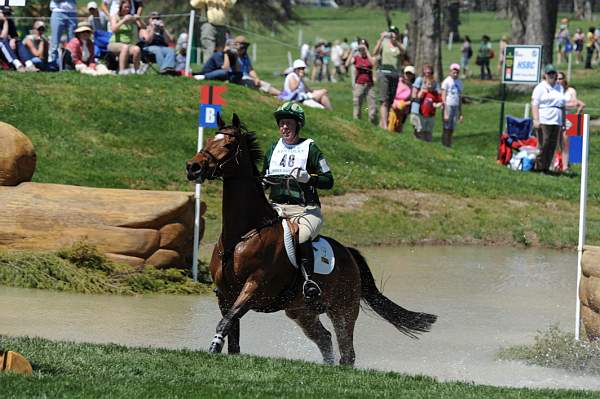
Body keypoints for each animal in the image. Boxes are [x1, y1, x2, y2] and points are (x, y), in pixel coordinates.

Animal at [184, 113, 436, 366]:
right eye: (209, 140)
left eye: (228, 145)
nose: (193, 167)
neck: (241, 234)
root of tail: (349, 254)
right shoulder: (226, 294)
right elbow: (232, 334)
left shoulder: (255, 286)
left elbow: (225, 322)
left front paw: (212, 349)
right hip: (301, 310)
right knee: (324, 338)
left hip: (343, 309)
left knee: (347, 351)